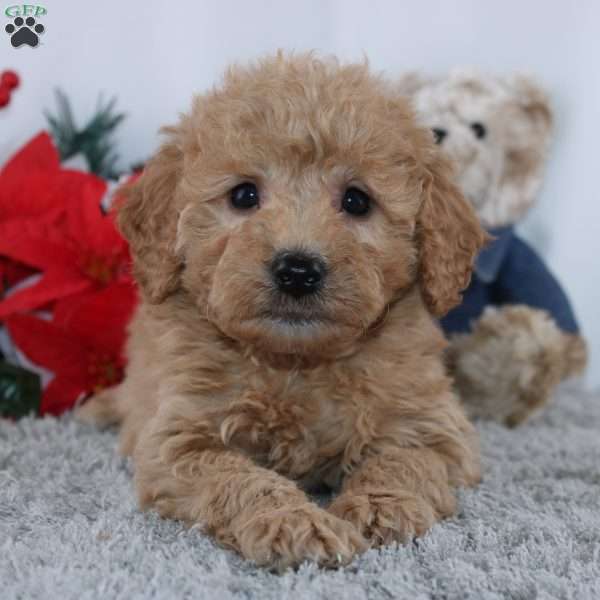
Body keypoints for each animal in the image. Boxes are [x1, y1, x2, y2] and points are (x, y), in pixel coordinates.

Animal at [79, 54, 490, 568]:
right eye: (243, 195)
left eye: (357, 201)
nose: (297, 270)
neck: (297, 364)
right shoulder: (178, 439)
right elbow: (238, 478)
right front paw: (296, 523)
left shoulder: (432, 425)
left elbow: (404, 460)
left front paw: (378, 508)